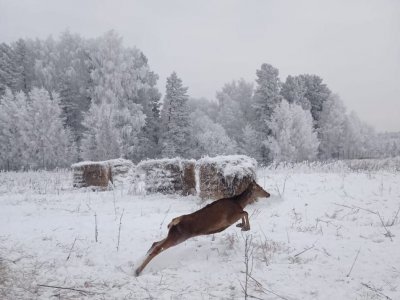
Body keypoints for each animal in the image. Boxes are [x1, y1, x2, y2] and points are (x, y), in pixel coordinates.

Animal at [134, 180, 268, 276]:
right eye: (260, 188)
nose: (268, 194)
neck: (239, 203)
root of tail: (174, 222)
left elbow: (244, 213)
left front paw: (241, 226)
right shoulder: (229, 218)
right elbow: (245, 212)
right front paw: (245, 227)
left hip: (173, 235)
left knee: (155, 243)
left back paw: (141, 260)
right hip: (179, 236)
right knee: (158, 248)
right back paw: (137, 271)